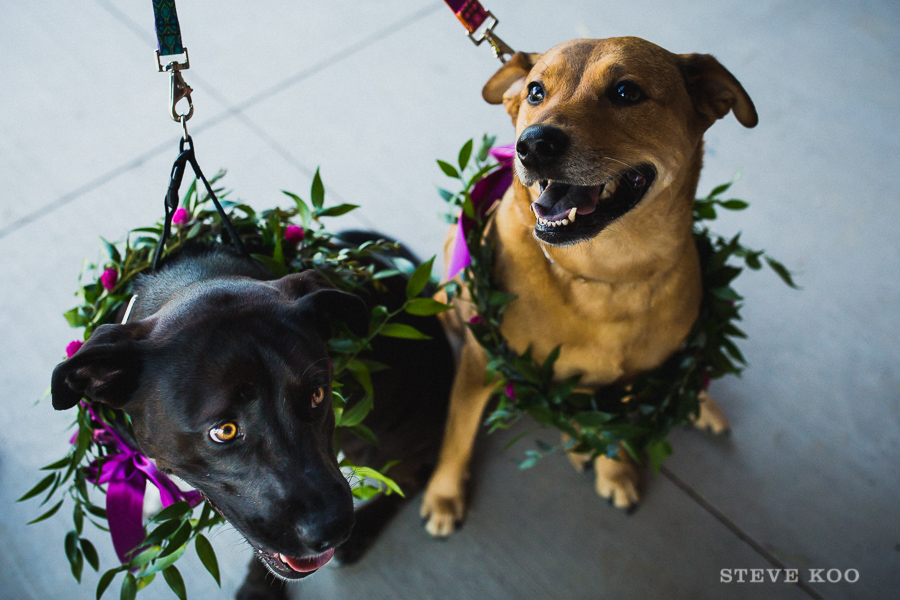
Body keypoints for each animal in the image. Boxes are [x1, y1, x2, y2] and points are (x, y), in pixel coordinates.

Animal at [420, 36, 752, 536]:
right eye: (535, 92)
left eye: (626, 92)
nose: (533, 144)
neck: (604, 273)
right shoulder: (482, 359)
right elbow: (457, 430)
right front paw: (443, 496)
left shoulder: (631, 382)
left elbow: (614, 433)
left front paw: (613, 472)